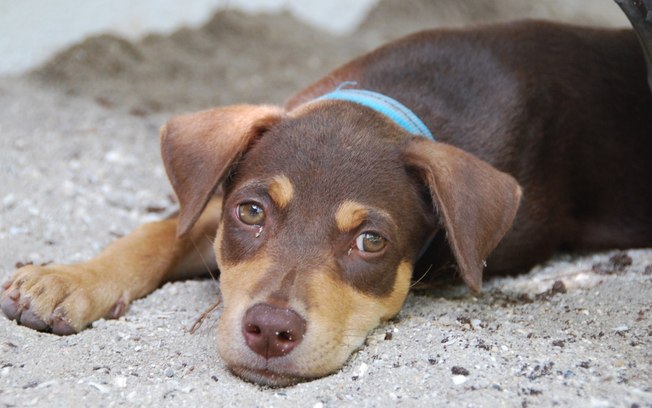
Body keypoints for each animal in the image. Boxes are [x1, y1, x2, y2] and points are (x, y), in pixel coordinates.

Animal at [3, 20, 652, 386]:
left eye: (371, 241)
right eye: (252, 212)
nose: (270, 331)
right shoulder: (214, 203)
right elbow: (159, 232)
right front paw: (66, 280)